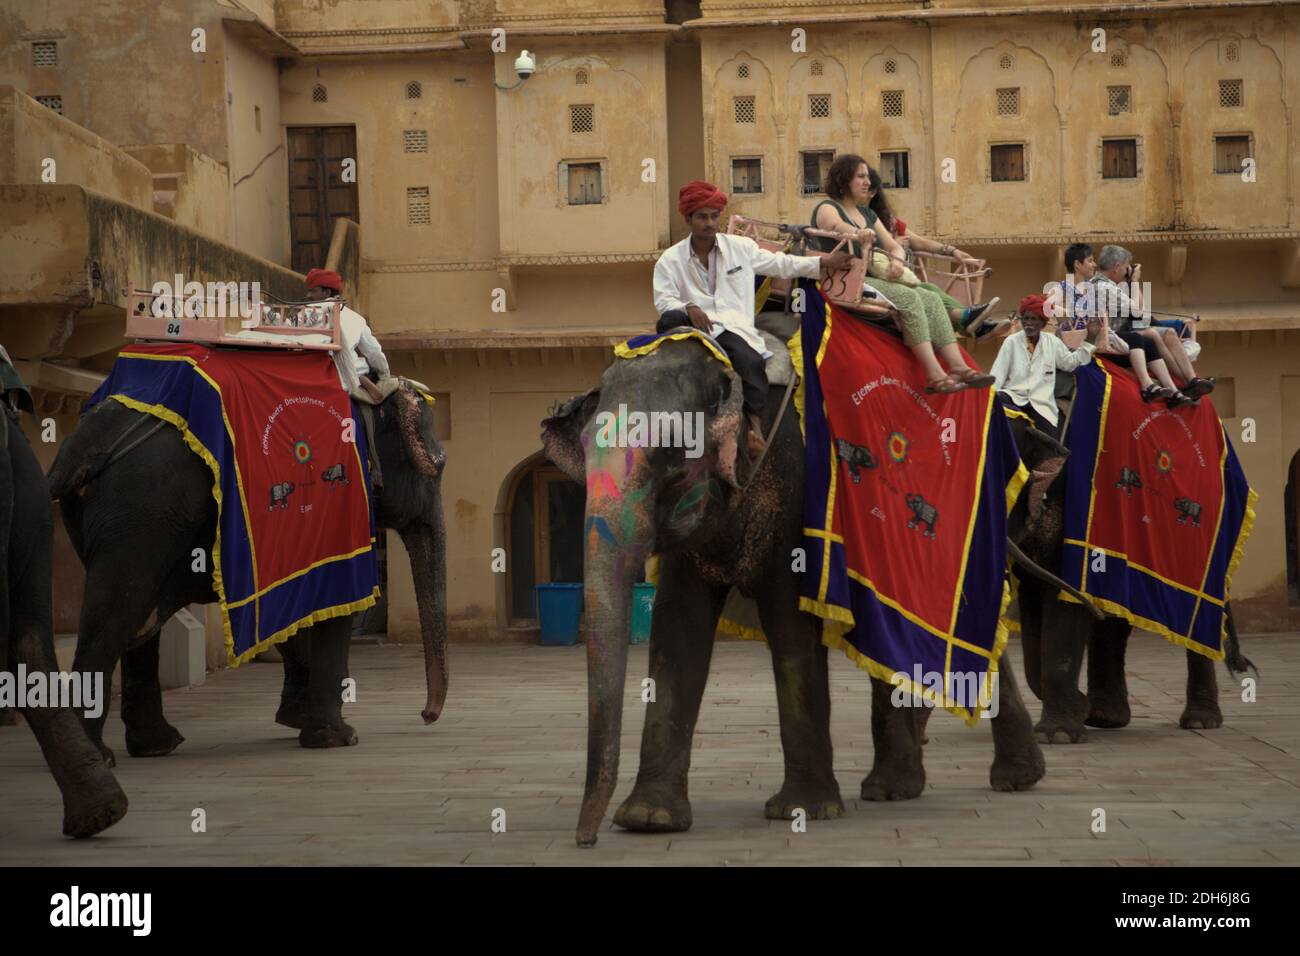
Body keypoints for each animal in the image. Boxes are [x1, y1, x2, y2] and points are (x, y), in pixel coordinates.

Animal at [45, 377, 449, 764]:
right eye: (440, 464)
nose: (426, 716)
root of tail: (81, 452)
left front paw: (296, 720)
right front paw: (338, 738)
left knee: (138, 617)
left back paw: (156, 746)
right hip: (142, 510)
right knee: (118, 613)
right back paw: (98, 755)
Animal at [540, 332, 1045, 848]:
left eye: (673, 461)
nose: (586, 839)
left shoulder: (798, 489)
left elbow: (789, 623)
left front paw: (803, 811)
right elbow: (678, 629)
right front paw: (649, 820)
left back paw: (1010, 779)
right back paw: (896, 790)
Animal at [998, 413, 1253, 749]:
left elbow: (1065, 608)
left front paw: (1059, 735)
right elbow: (1034, 612)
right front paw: (1080, 709)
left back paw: (1200, 720)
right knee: (1113, 619)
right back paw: (1105, 717)